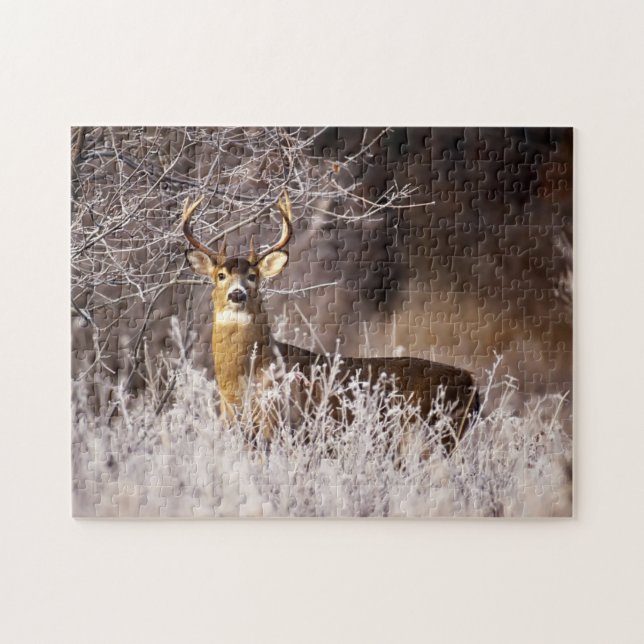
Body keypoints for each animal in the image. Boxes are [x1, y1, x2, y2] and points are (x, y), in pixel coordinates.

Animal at [182, 190, 479, 454]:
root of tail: (472, 384)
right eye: (220, 275)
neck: (242, 381)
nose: (237, 294)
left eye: (253, 276)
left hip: (431, 435)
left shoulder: (279, 426)